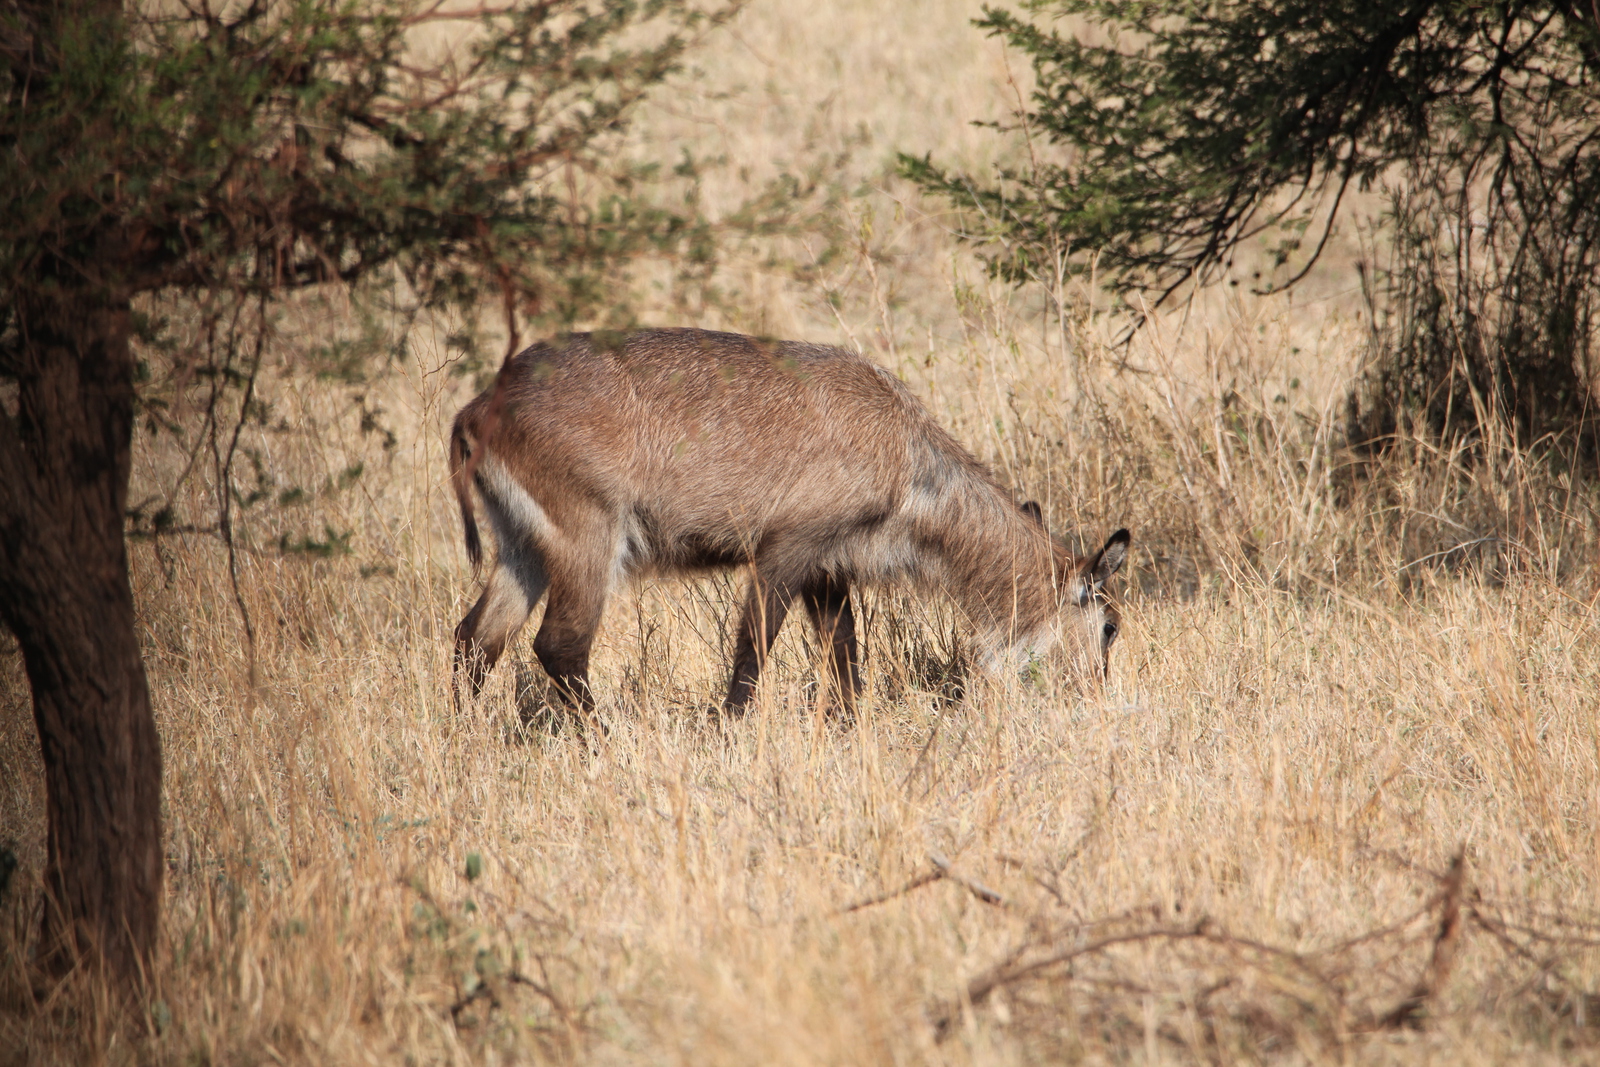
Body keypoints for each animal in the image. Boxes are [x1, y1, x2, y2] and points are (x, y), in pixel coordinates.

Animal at [448, 329, 1126, 713]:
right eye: (1111, 627)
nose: (1098, 698)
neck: (909, 462)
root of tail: (480, 406)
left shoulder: (828, 570)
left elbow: (846, 657)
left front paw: (850, 728)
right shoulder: (785, 550)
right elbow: (753, 653)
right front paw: (729, 731)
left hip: (524, 547)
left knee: (474, 639)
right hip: (589, 537)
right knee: (558, 646)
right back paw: (606, 741)